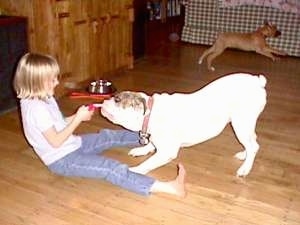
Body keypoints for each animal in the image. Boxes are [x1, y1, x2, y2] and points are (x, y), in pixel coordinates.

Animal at [101, 73, 268, 177]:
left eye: (116, 99)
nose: (104, 100)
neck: (150, 112)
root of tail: (257, 81)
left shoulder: (167, 151)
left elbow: (149, 162)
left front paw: (136, 170)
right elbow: (151, 145)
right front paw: (142, 150)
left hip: (241, 123)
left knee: (253, 146)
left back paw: (245, 169)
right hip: (245, 124)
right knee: (252, 142)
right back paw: (244, 155)